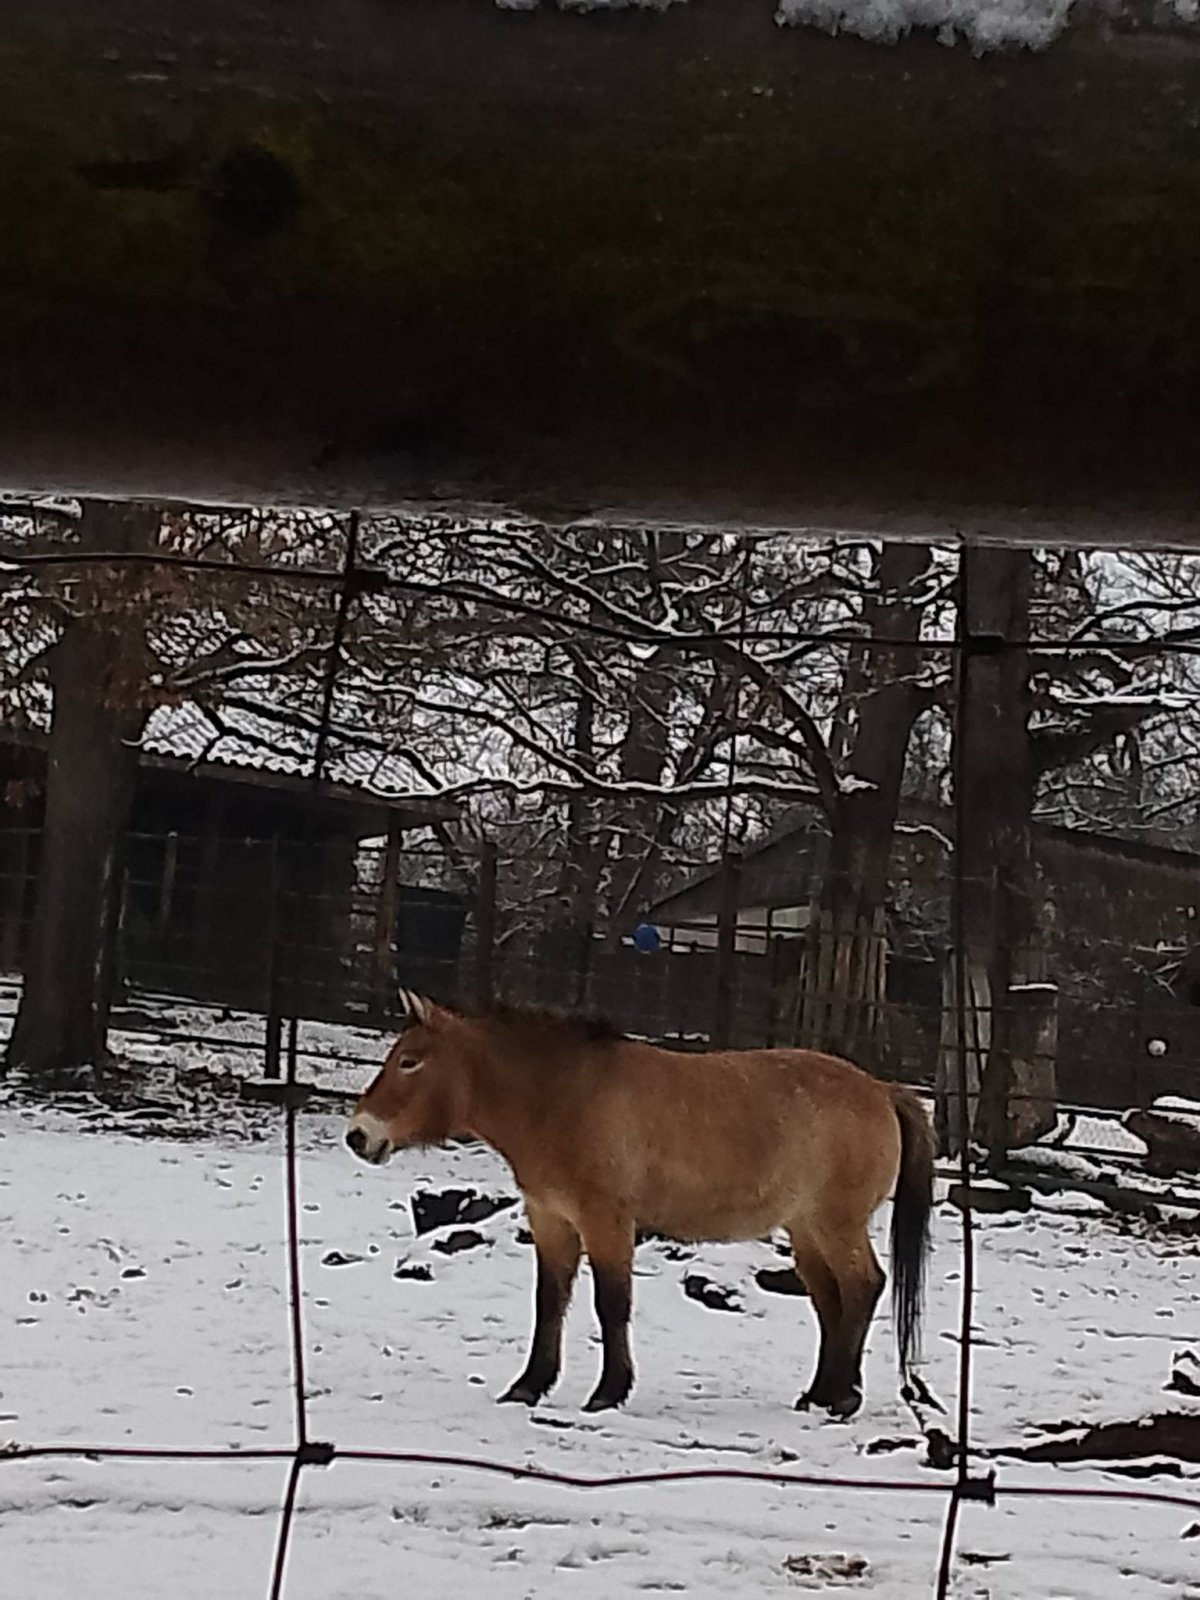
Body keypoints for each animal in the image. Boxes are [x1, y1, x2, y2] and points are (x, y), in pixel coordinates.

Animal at [346, 990, 934, 1419]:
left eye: (410, 1062)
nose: (359, 1135)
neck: (562, 1097)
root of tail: (882, 1090)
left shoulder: (606, 1221)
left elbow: (612, 1304)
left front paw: (608, 1392)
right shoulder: (551, 1220)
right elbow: (549, 1302)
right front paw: (529, 1386)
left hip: (836, 1224)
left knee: (863, 1287)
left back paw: (843, 1399)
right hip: (806, 1229)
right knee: (832, 1302)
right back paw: (819, 1393)